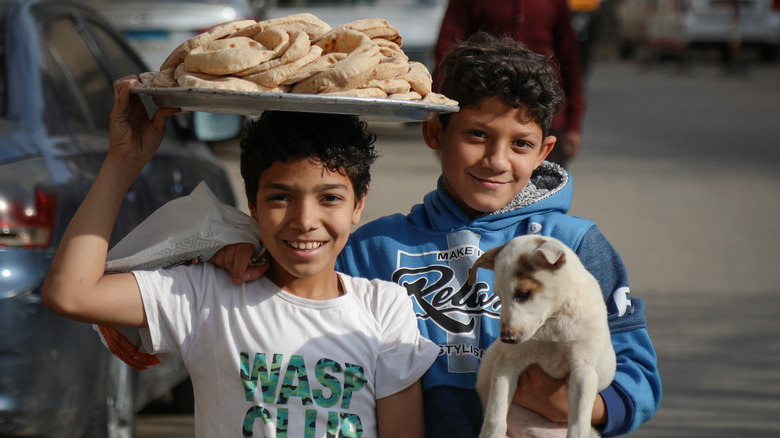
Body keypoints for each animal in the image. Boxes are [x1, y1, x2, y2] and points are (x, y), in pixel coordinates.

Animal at [470, 236, 616, 438]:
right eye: (498, 296)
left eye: (524, 294)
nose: (506, 338)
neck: (552, 322)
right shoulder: (507, 362)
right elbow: (495, 417)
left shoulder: (583, 371)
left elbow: (578, 425)